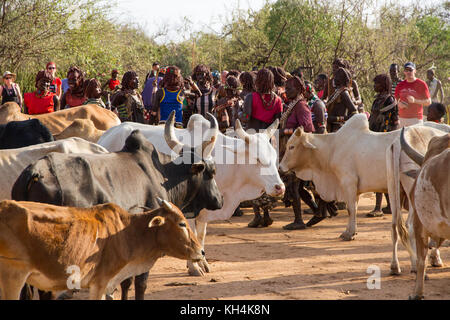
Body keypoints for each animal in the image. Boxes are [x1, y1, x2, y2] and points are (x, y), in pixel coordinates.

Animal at [97, 114, 284, 276]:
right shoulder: (190, 210)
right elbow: (190, 234)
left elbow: (200, 236)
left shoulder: (205, 211)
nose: (279, 187)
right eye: (257, 159)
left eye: (274, 156)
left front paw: (203, 262)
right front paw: (194, 267)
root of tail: (107, 134)